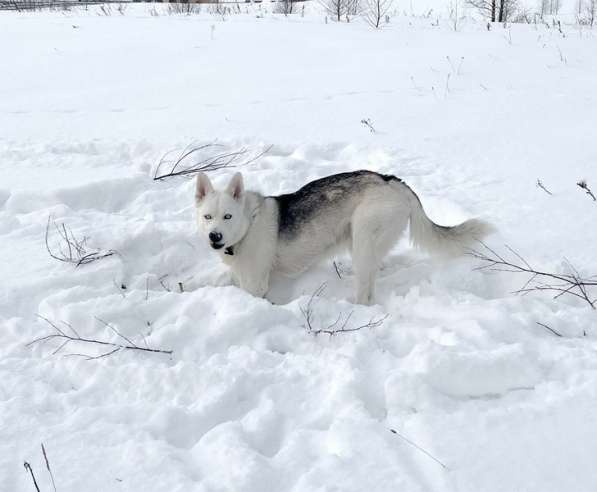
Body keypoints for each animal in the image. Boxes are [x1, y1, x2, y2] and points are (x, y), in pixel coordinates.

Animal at [193, 171, 492, 306]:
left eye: (228, 216)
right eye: (208, 217)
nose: (214, 236)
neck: (248, 224)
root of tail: (393, 181)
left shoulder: (255, 285)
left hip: (362, 243)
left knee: (365, 293)